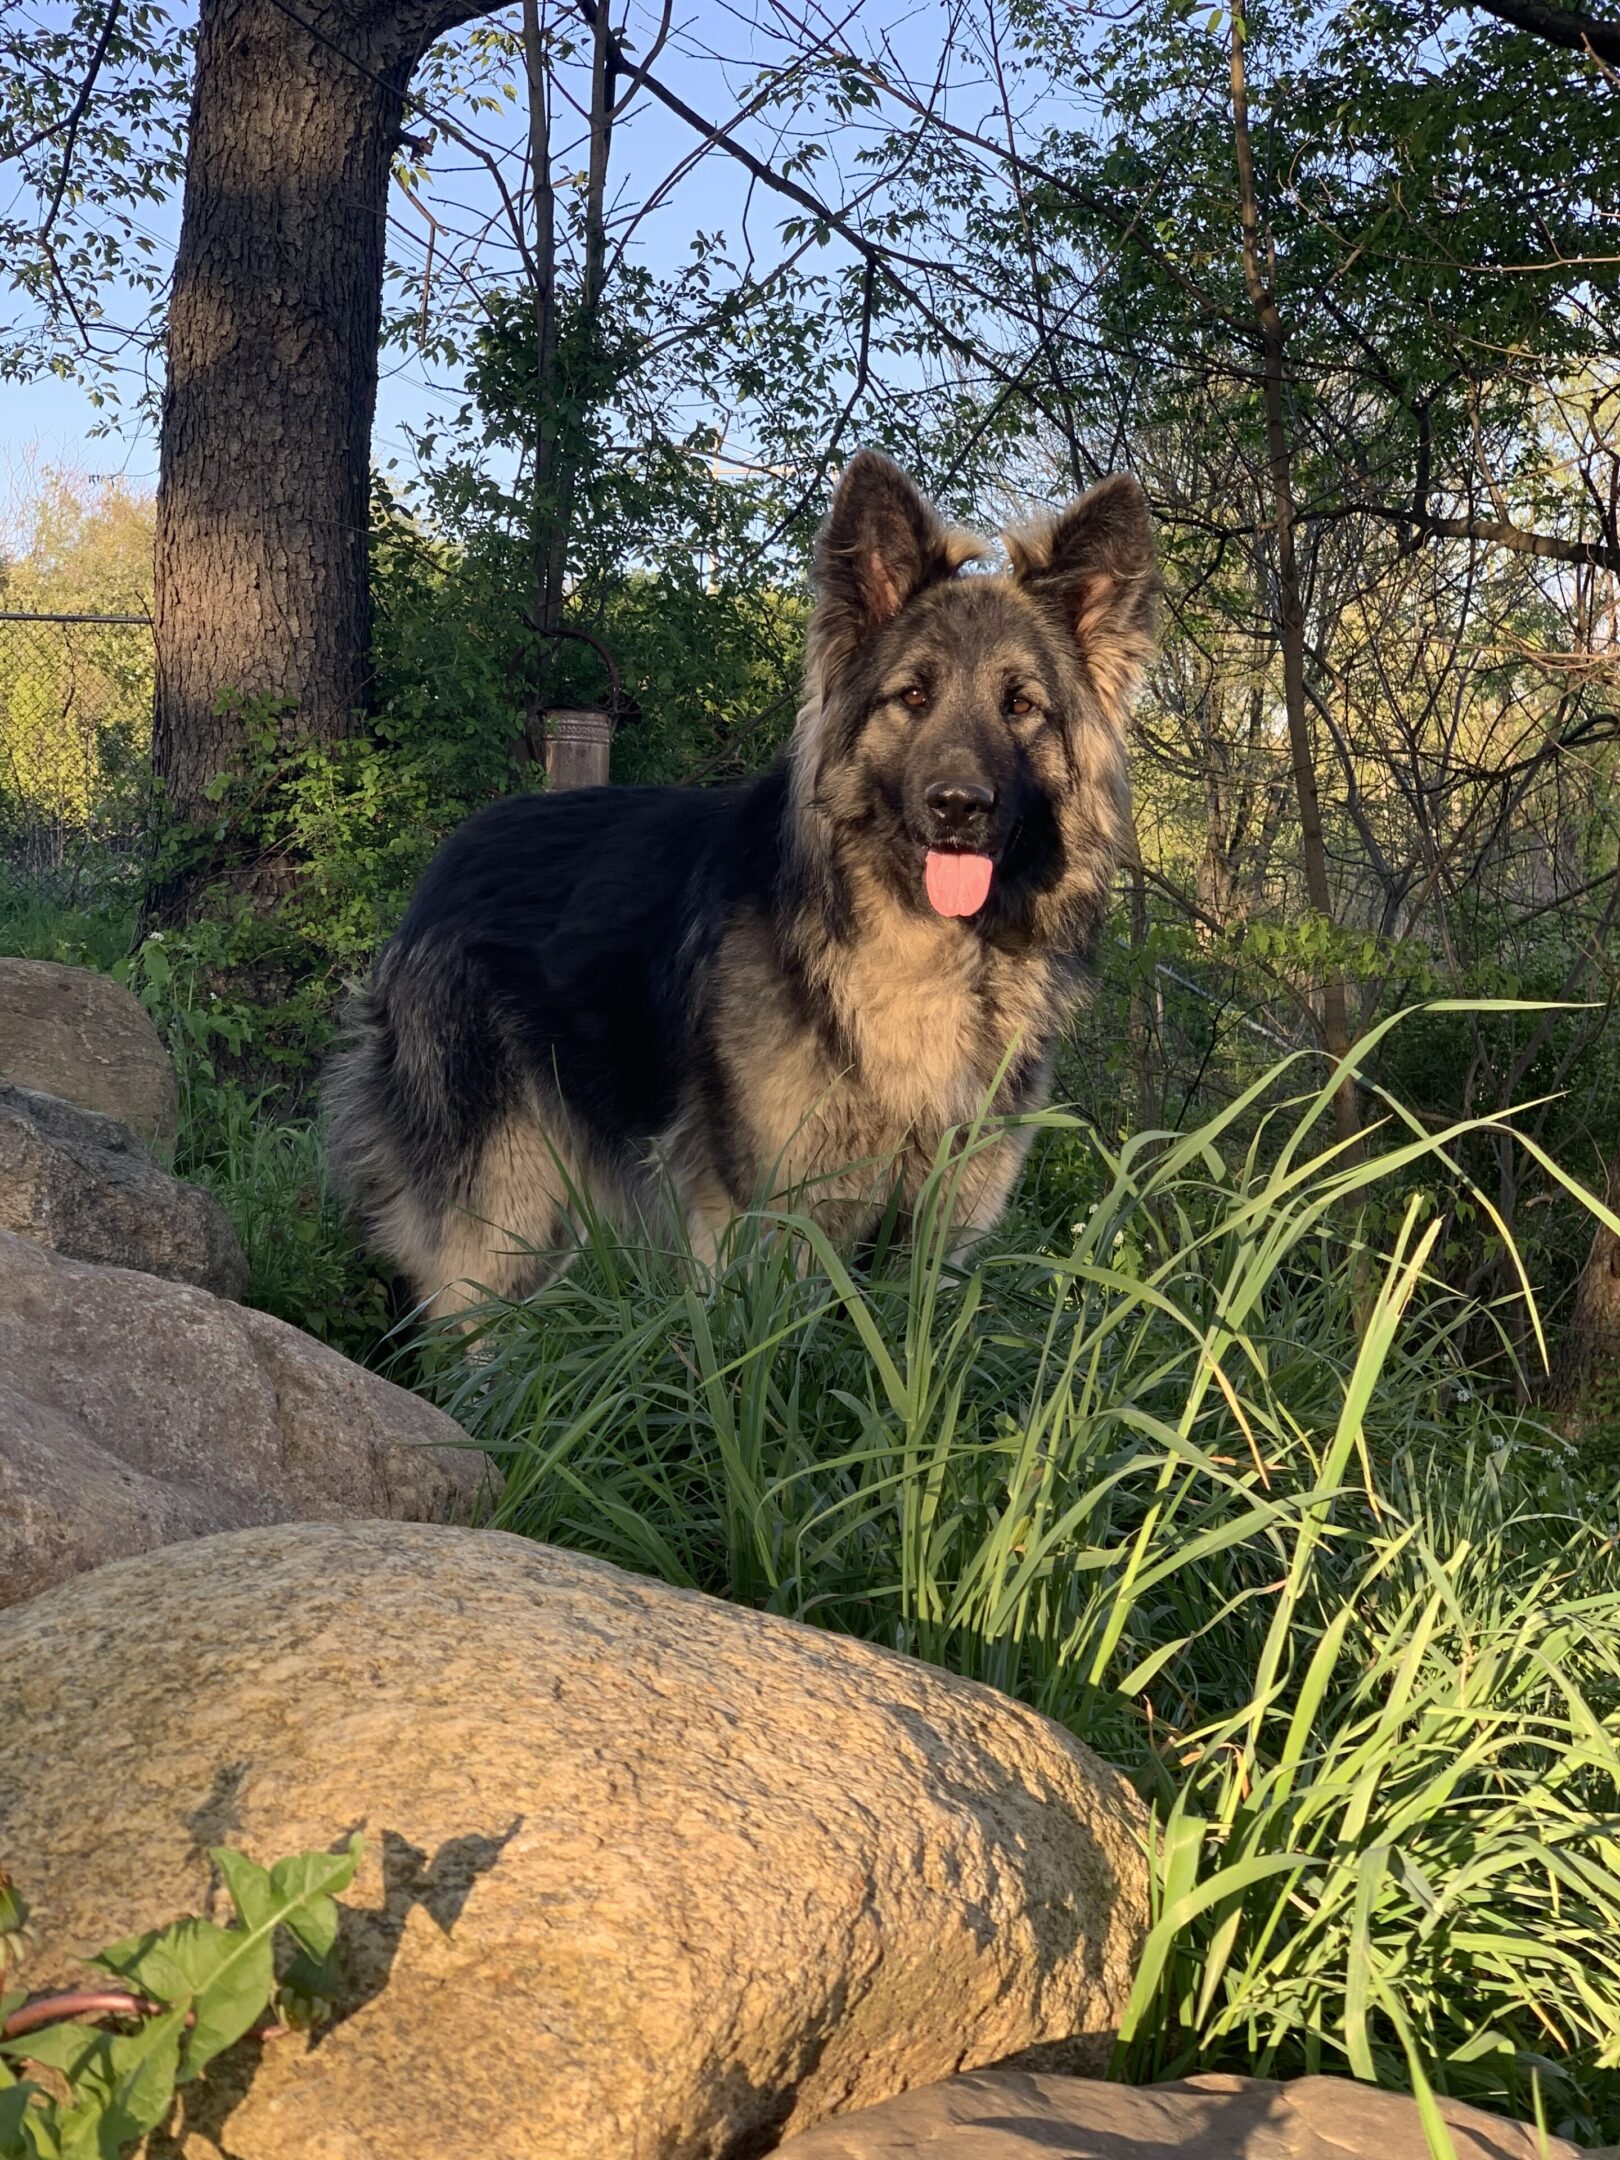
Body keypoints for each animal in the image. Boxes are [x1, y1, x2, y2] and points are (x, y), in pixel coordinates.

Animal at [324, 451, 1157, 1313]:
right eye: (913, 696)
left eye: (1021, 705)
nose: (958, 806)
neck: (925, 951)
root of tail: (446, 860)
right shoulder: (766, 1231)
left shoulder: (937, 1238)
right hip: (499, 1221)